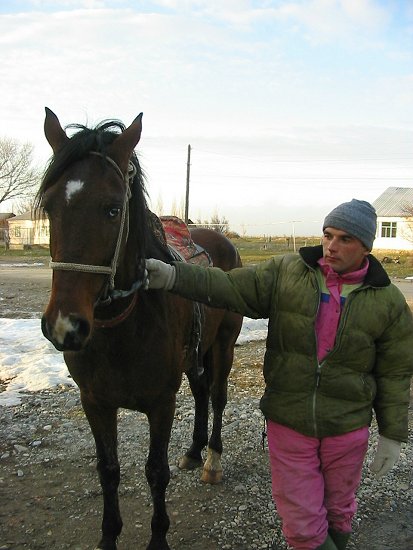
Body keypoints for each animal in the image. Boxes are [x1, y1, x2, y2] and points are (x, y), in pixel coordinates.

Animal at [37, 109, 243, 550]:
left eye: (113, 209)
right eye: (48, 207)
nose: (65, 326)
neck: (122, 328)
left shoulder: (161, 403)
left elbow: (155, 472)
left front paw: (158, 538)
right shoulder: (95, 402)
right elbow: (108, 470)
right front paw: (108, 537)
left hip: (223, 345)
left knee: (217, 397)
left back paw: (212, 459)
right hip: (195, 354)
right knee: (202, 392)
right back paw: (195, 450)